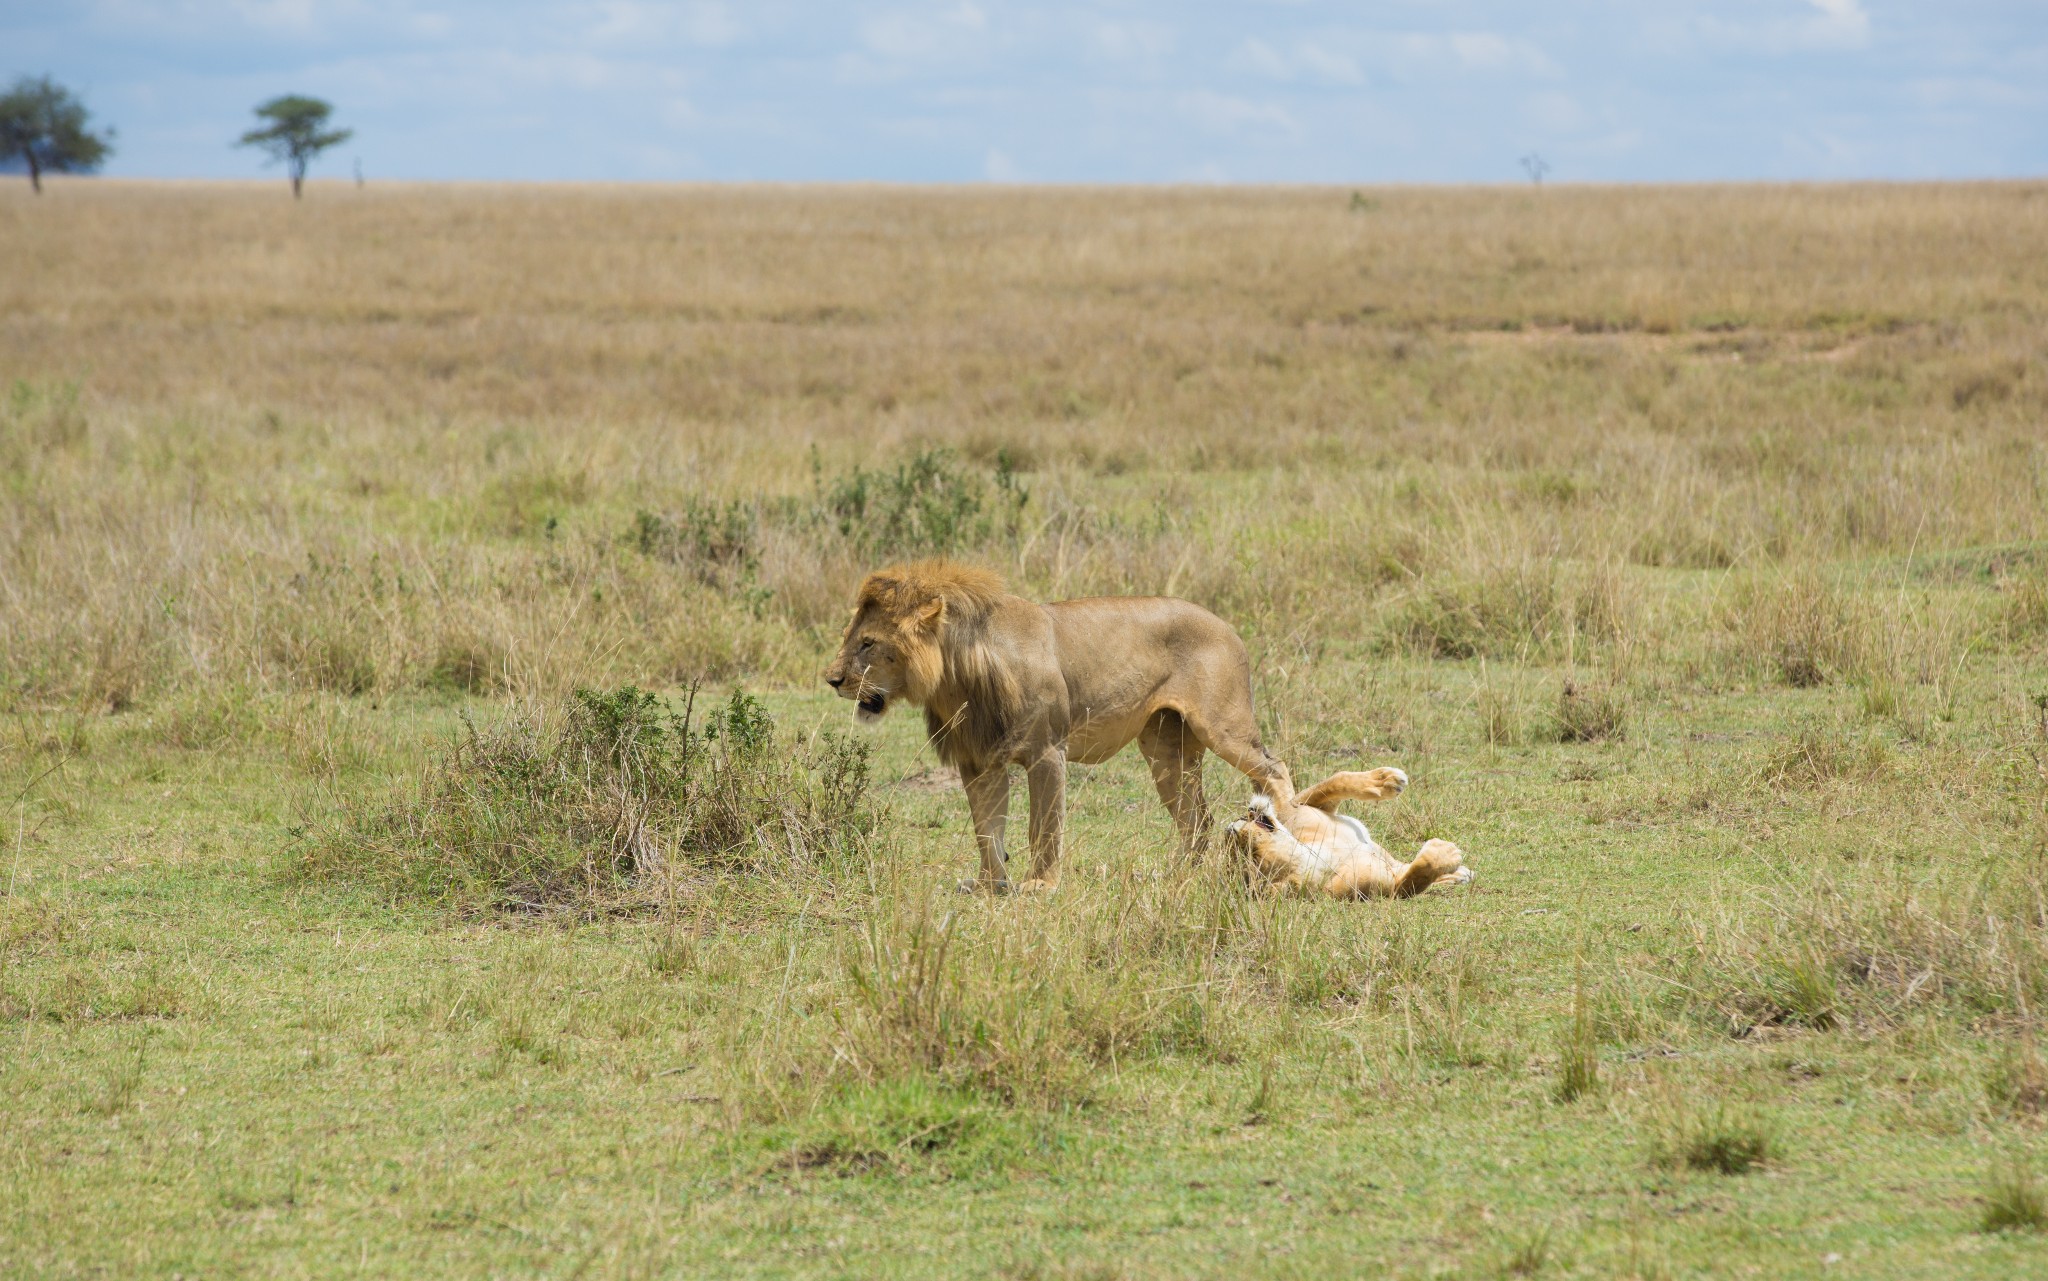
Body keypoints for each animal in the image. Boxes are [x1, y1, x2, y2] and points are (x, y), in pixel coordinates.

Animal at [819, 557, 1286, 889]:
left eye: (868, 643)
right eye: (848, 638)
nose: (832, 680)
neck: (956, 676)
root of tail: (1228, 626)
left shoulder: (1046, 752)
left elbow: (1042, 826)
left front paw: (1040, 884)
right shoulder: (979, 761)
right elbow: (987, 829)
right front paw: (989, 884)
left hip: (1223, 726)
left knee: (1274, 769)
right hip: (1167, 748)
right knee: (1196, 819)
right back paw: (1175, 877)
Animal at [1220, 770, 1466, 897]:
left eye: (1245, 849)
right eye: (1251, 854)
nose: (1232, 827)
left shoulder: (1303, 807)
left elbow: (1335, 780)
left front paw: (1387, 779)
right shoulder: (1385, 888)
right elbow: (1417, 874)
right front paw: (1446, 851)